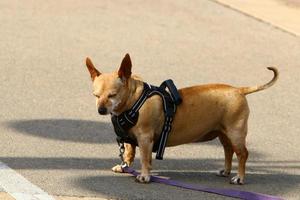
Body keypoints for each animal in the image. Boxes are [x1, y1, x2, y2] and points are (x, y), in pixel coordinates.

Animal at [85, 53, 278, 184]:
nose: (101, 110)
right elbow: (129, 153)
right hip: (224, 134)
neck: (134, 101)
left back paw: (239, 177)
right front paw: (124, 166)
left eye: (112, 95)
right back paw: (226, 171)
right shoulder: (130, 140)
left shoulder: (145, 139)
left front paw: (145, 175)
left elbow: (145, 158)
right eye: (96, 96)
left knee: (242, 154)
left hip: (235, 133)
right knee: (228, 151)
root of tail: (239, 90)